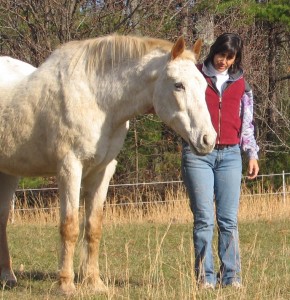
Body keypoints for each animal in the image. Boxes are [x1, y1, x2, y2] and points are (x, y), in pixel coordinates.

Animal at [0, 34, 215, 292]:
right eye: (178, 85)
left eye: (204, 86)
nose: (208, 139)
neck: (98, 98)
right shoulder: (70, 168)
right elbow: (70, 226)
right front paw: (66, 284)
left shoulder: (102, 171)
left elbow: (93, 227)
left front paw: (94, 282)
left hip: (9, 174)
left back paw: (8, 276)